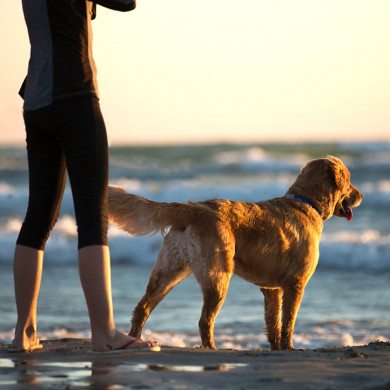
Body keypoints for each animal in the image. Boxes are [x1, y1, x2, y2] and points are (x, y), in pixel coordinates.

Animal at [106, 155, 362, 350]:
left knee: (142, 308)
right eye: (349, 180)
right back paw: (210, 348)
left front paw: (276, 348)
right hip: (217, 276)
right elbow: (288, 321)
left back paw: (135, 340)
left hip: (168, 272)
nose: (361, 196)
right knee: (204, 320)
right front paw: (289, 347)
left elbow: (273, 323)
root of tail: (193, 208)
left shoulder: (271, 289)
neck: (306, 202)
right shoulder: (296, 282)